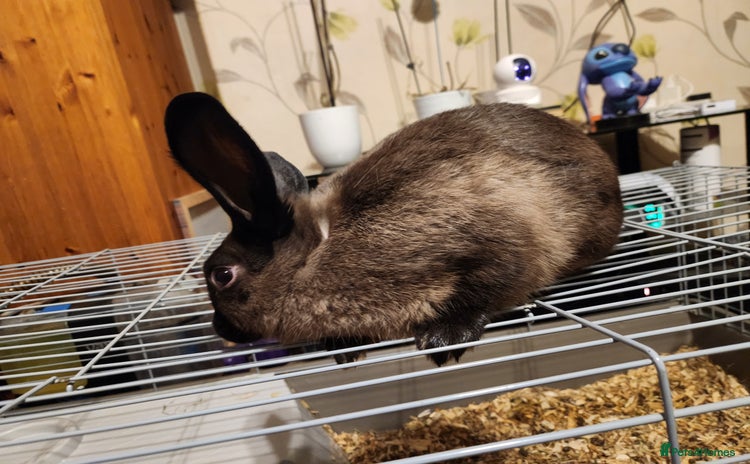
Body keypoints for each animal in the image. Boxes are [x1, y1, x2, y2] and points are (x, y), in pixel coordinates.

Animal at [164, 92, 623, 366]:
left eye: (222, 276)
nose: (218, 330)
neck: (320, 250)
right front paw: (343, 350)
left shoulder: (500, 239)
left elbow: (487, 288)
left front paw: (442, 341)